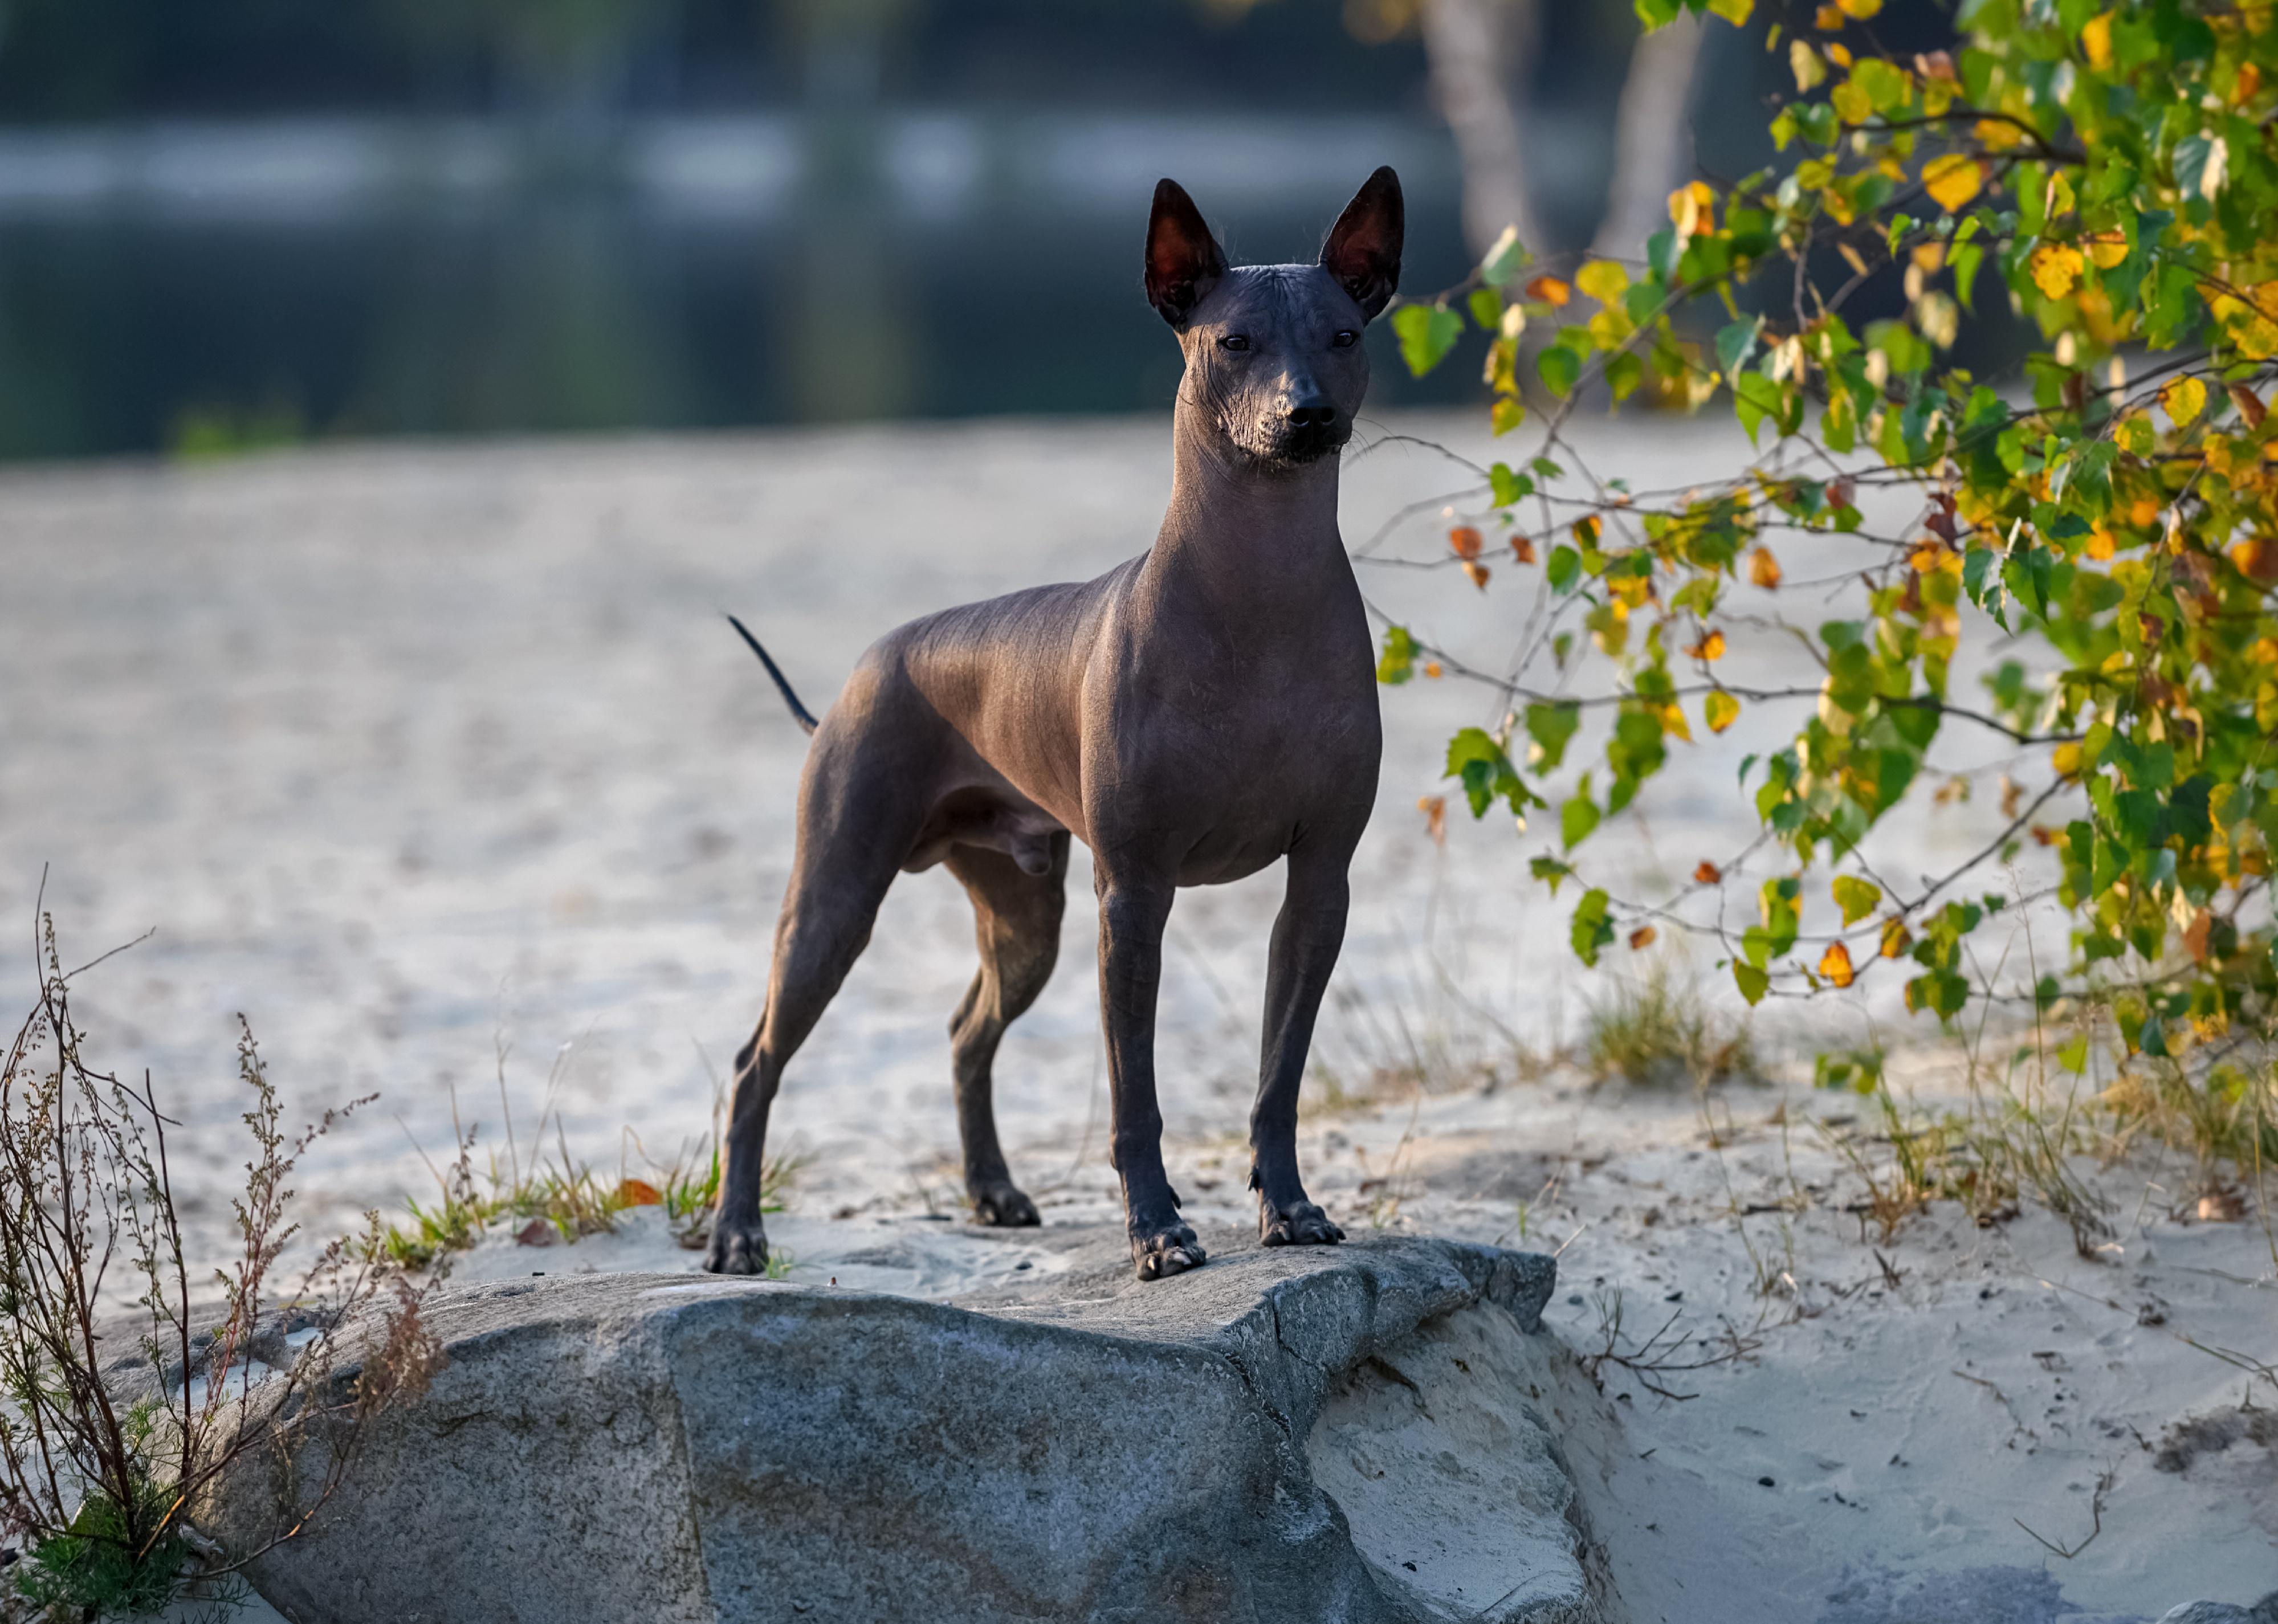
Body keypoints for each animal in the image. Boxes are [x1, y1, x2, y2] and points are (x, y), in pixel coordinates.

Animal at [711, 165, 1394, 1275]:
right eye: (1233, 342)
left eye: (1343, 334)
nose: (1308, 415)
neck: (1258, 596)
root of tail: (865, 668)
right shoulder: (1136, 896)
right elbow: (1135, 1099)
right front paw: (1156, 1232)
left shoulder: (1318, 885)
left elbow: (1277, 1078)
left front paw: (1288, 1207)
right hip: (832, 903)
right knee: (753, 1061)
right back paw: (736, 1231)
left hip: (1024, 916)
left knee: (964, 1034)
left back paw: (991, 1190)